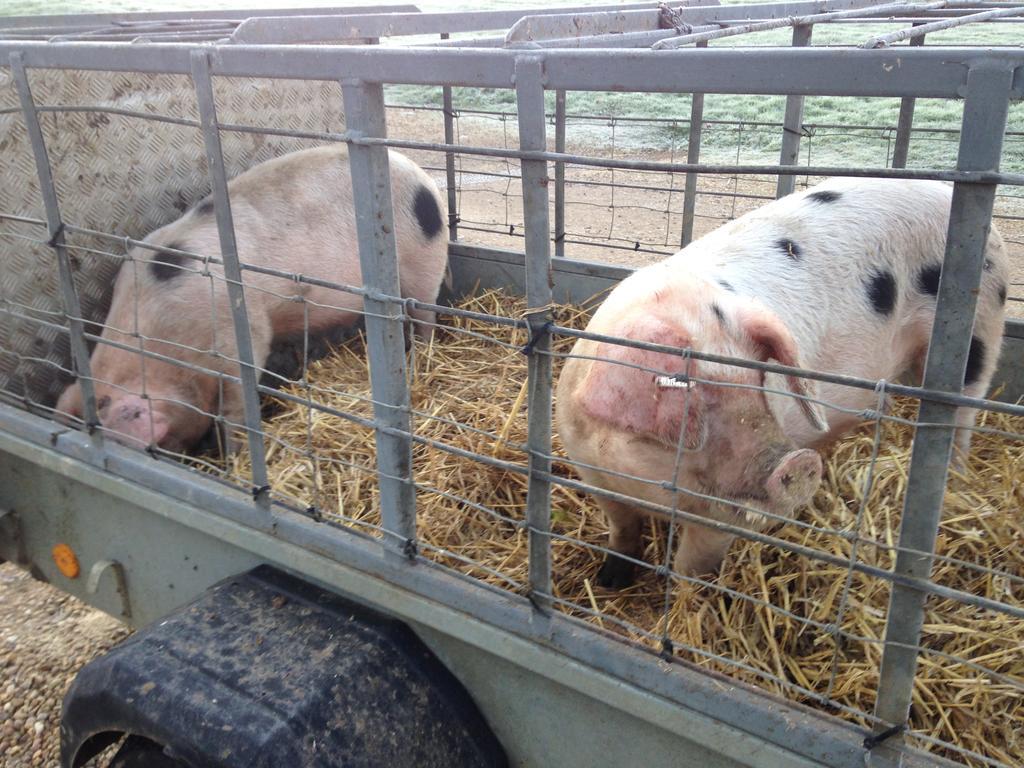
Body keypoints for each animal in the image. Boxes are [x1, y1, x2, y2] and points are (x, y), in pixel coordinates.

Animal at [55, 147, 448, 454]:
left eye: (156, 446)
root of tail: (423, 178)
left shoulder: (241, 332)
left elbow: (237, 403)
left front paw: (236, 453)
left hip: (422, 263)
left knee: (424, 315)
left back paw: (420, 356)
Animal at [557, 179, 1003, 589]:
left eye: (759, 380)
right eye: (692, 398)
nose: (797, 464)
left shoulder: (723, 514)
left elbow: (691, 567)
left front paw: (685, 604)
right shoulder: (592, 473)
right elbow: (622, 531)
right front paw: (609, 581)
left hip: (978, 334)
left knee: (962, 418)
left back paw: (955, 480)